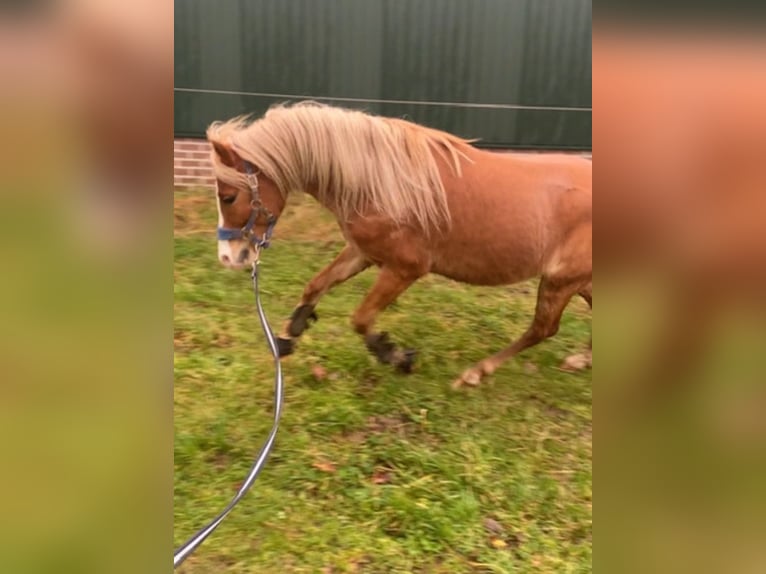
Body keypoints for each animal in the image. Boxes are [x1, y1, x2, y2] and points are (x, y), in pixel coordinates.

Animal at [207, 104, 592, 392]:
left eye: (229, 196)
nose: (228, 257)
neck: (382, 182)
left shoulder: (405, 268)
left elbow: (361, 318)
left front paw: (395, 356)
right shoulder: (363, 253)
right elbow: (316, 285)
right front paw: (288, 336)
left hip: (561, 281)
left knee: (543, 329)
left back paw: (474, 373)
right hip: (578, 281)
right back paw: (580, 360)